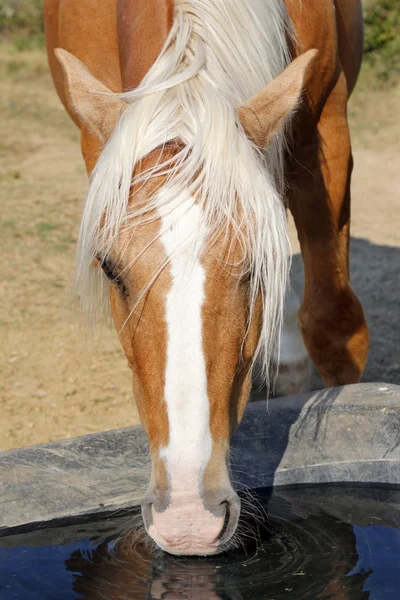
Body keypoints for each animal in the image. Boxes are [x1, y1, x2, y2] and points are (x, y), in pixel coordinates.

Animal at [43, 0, 368, 556]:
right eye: (109, 268)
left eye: (256, 265)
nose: (188, 522)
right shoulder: (98, 143)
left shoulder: (325, 127)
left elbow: (334, 326)